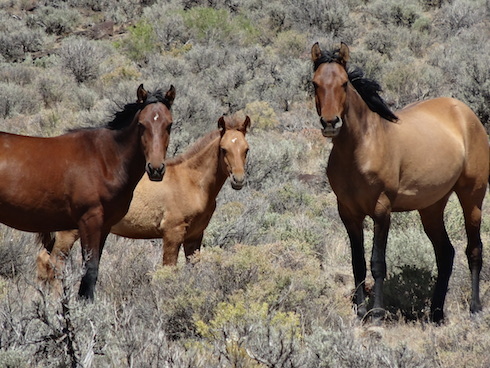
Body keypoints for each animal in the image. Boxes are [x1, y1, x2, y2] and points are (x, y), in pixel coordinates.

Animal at [0, 83, 176, 300]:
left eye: (169, 125)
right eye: (142, 125)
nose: (156, 169)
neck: (105, 159)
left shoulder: (105, 226)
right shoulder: (88, 221)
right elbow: (90, 271)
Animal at [36, 113, 249, 284]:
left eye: (246, 149)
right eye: (223, 149)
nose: (238, 180)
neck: (191, 182)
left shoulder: (194, 237)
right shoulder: (172, 234)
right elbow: (168, 272)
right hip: (67, 233)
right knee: (53, 265)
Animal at [312, 41, 488, 322]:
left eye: (343, 83)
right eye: (315, 83)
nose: (330, 123)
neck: (361, 148)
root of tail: (465, 112)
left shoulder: (382, 210)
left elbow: (377, 262)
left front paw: (377, 314)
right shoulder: (348, 213)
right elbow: (357, 263)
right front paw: (361, 311)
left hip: (472, 196)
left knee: (474, 250)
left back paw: (475, 308)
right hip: (431, 207)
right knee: (445, 253)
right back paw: (436, 313)